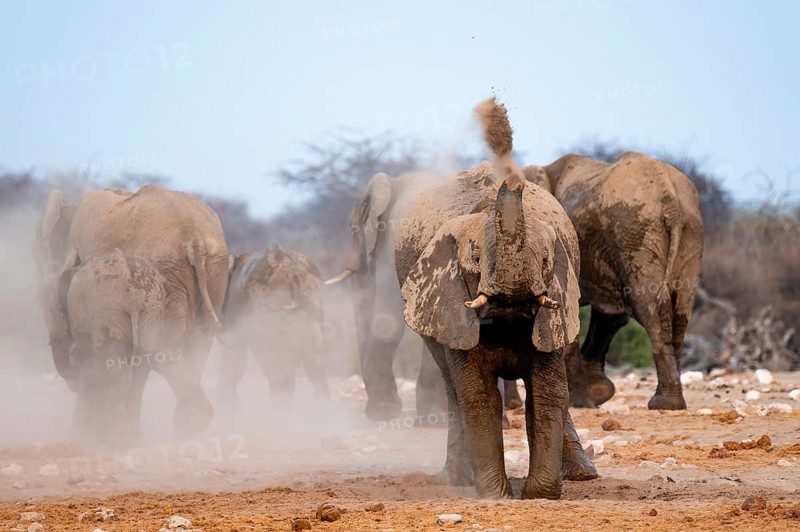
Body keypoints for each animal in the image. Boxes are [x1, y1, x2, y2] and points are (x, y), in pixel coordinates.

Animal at [61, 250, 174, 445]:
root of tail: (134, 296)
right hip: (151, 314)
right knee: (140, 370)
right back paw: (133, 440)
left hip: (108, 315)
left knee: (114, 370)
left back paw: (120, 441)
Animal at [395, 98, 596, 499]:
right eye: (474, 258)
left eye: (547, 260)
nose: (492, 115)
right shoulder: (451, 304)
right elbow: (479, 397)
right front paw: (497, 496)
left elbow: (547, 393)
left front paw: (539, 495)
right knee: (452, 389)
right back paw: (457, 478)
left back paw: (584, 475)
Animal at [524, 152, 704, 410]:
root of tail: (671, 202)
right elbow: (610, 317)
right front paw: (598, 394)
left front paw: (580, 402)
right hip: (687, 235)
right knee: (681, 310)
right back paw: (672, 402)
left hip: (635, 234)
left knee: (651, 308)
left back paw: (664, 404)